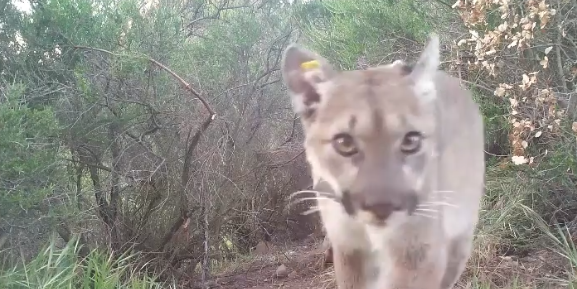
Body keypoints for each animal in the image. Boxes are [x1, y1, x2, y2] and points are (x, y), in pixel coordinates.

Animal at [280, 34, 482, 288]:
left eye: (411, 140)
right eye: (344, 143)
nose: (382, 206)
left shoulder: (418, 251)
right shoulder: (349, 249)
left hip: (460, 237)